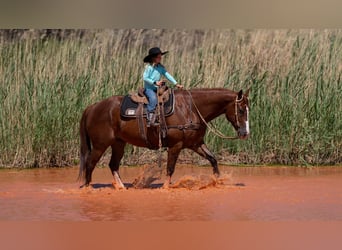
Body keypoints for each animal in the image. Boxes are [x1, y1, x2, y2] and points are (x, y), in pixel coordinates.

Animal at [79, 88, 251, 188]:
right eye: (242, 110)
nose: (245, 133)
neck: (190, 108)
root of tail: (93, 107)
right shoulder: (176, 145)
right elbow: (170, 168)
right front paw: (166, 188)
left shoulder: (195, 143)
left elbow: (213, 159)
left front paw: (218, 181)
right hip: (100, 145)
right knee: (90, 163)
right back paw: (88, 188)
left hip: (118, 144)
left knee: (113, 165)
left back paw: (121, 187)